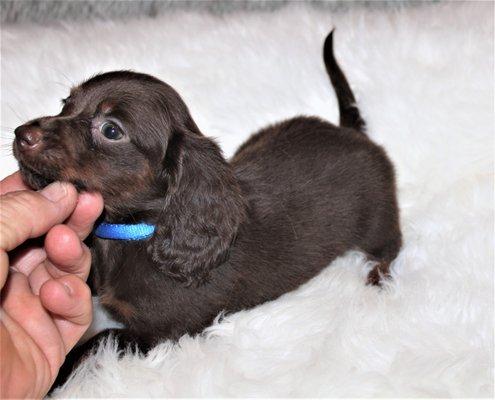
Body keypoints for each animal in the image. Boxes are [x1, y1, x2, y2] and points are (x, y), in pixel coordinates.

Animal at [13, 30, 402, 356]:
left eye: (111, 130)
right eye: (65, 103)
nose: (20, 134)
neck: (133, 231)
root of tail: (352, 132)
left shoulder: (157, 334)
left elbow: (95, 342)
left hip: (376, 221)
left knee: (391, 246)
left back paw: (378, 276)